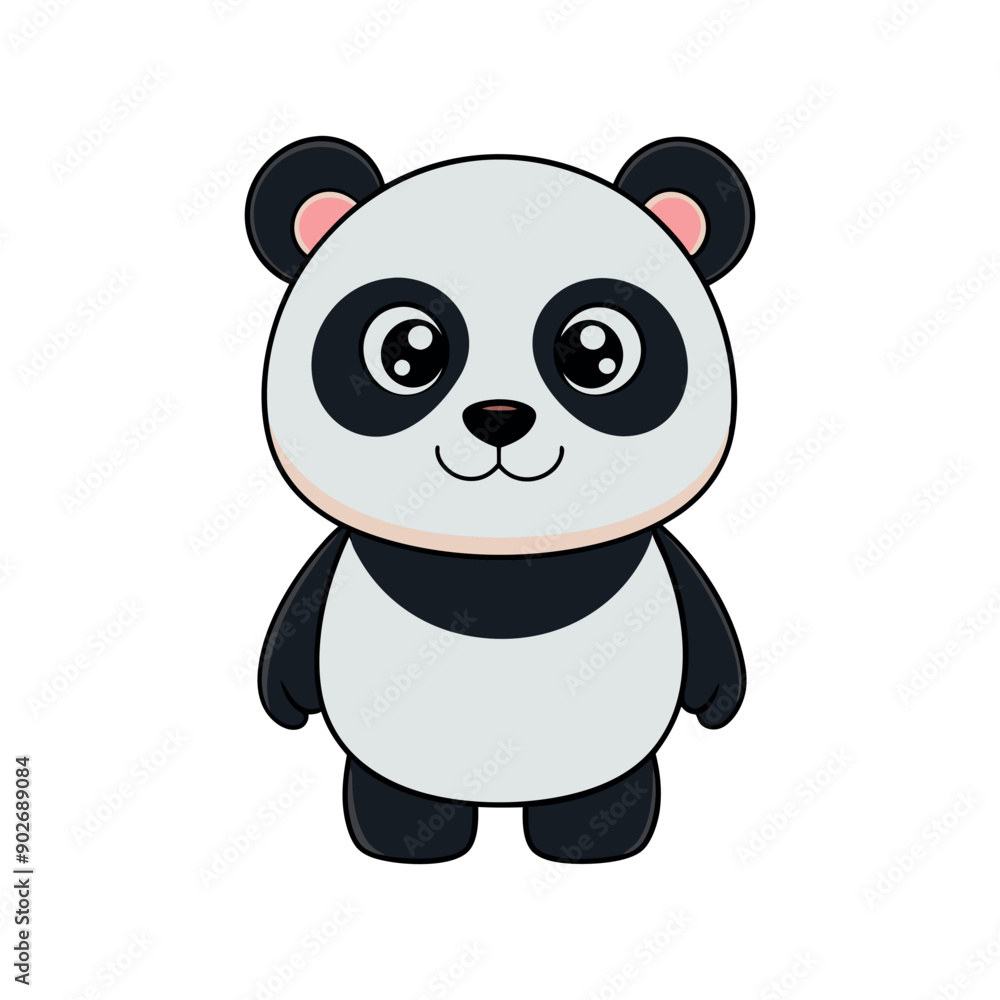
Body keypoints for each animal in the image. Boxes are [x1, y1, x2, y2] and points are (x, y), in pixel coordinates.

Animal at [245, 135, 753, 864]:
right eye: (406, 352)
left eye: (595, 352)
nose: (499, 417)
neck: (499, 562)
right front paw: (283, 699)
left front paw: (719, 700)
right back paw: (408, 843)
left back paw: (591, 843)